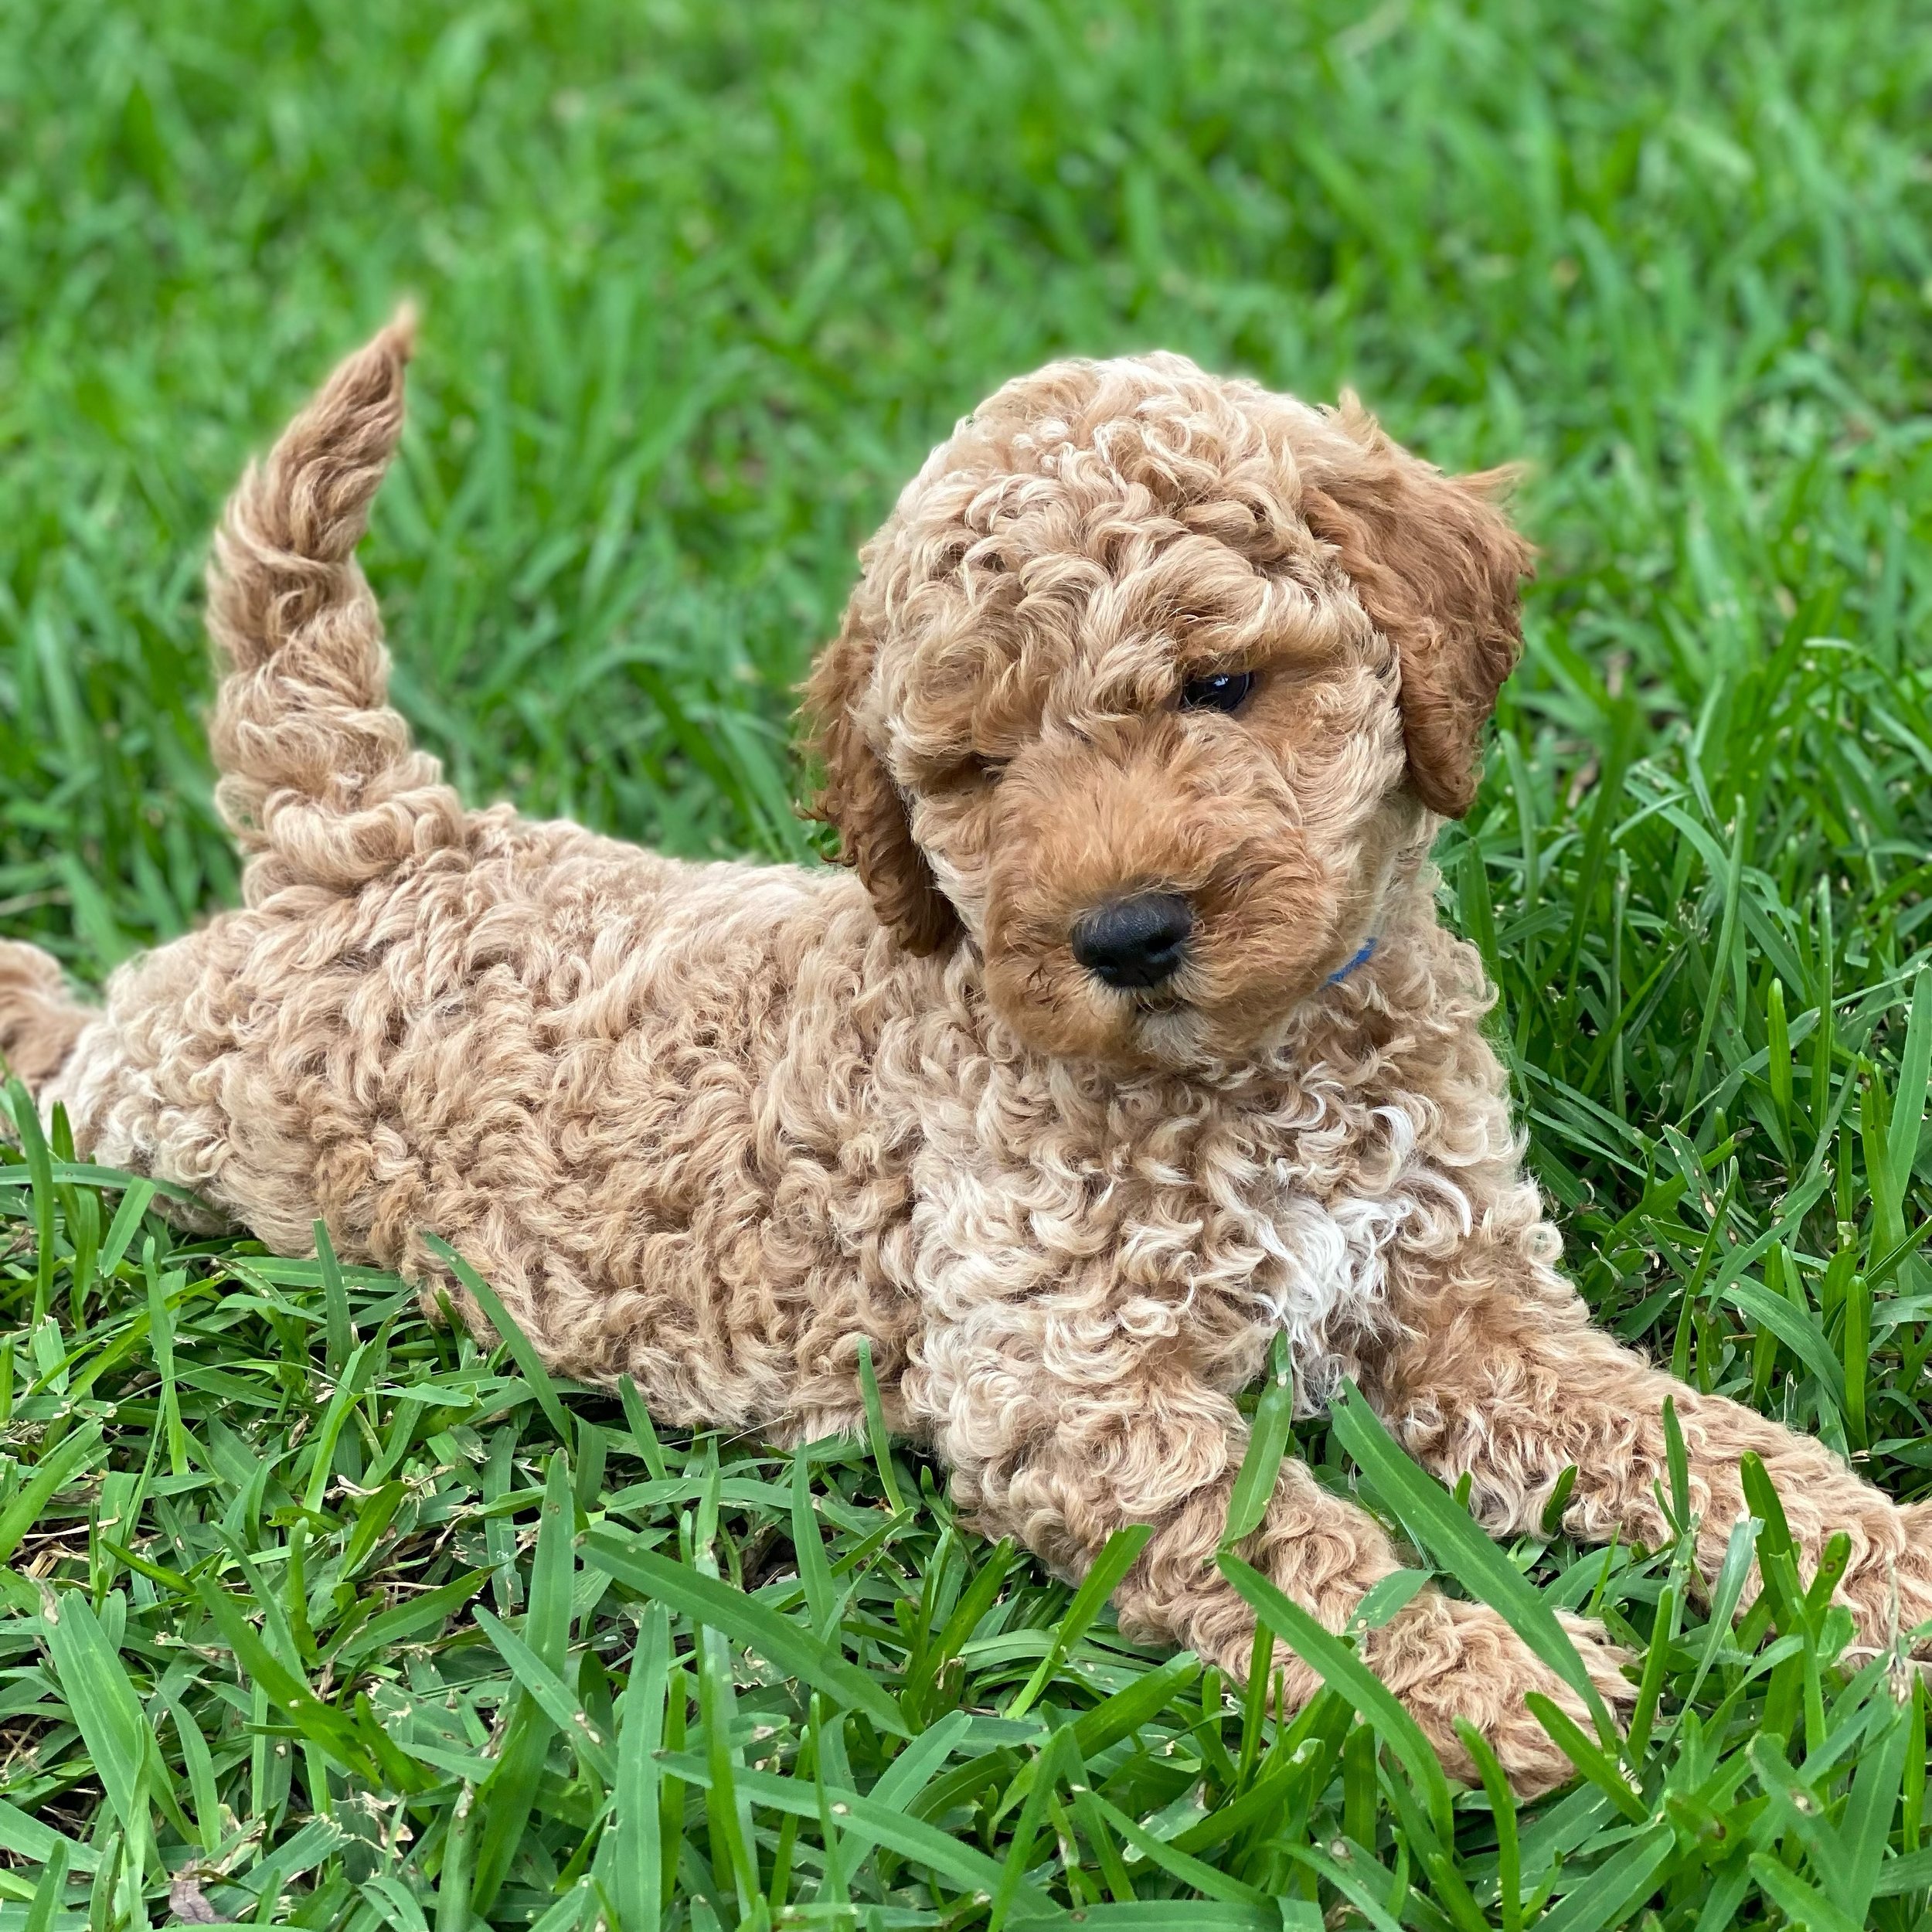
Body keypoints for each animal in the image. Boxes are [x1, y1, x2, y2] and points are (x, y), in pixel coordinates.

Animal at [3, 321, 1932, 1793]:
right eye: (980, 767)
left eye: (1218, 683)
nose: (1123, 932)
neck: (1250, 1073)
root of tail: (374, 839)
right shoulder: (1064, 1385)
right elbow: (1287, 1548)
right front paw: (1488, 1676)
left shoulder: (1467, 1307)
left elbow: (1698, 1440)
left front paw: (1877, 1571)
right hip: (161, 1105)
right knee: (65, 1038)